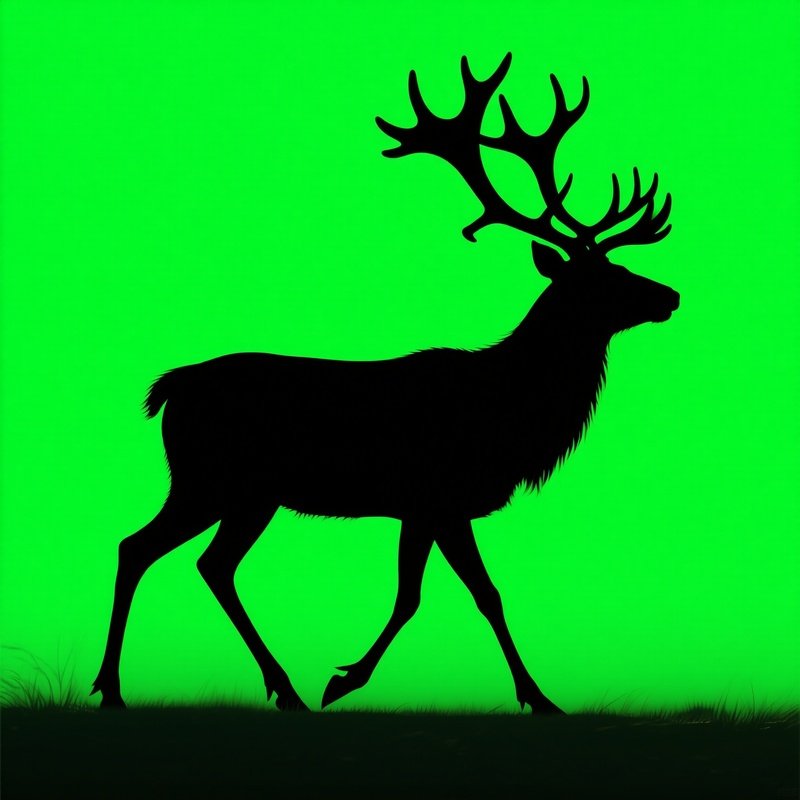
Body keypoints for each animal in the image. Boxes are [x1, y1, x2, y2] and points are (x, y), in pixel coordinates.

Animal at [92, 53, 678, 715]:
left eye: (622, 266)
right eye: (603, 279)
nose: (671, 295)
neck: (512, 415)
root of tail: (171, 387)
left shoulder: (427, 508)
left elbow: (428, 594)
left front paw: (347, 677)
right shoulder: (439, 497)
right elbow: (465, 595)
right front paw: (531, 696)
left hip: (245, 494)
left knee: (205, 563)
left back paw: (278, 687)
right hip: (210, 481)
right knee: (143, 548)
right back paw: (118, 688)